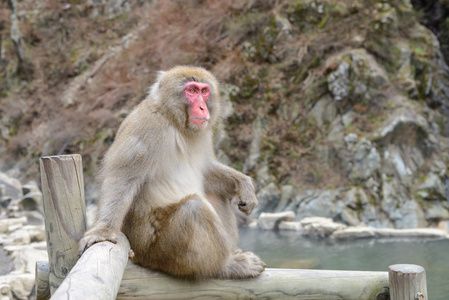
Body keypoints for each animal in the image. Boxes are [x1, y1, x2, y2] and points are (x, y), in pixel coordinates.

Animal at [78, 65, 264, 278]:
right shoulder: (147, 127)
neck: (174, 121)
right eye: (191, 91)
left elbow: (206, 171)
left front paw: (243, 185)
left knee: (215, 194)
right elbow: (122, 179)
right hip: (157, 250)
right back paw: (224, 266)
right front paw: (102, 231)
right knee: (194, 208)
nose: (203, 107)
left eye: (204, 91)